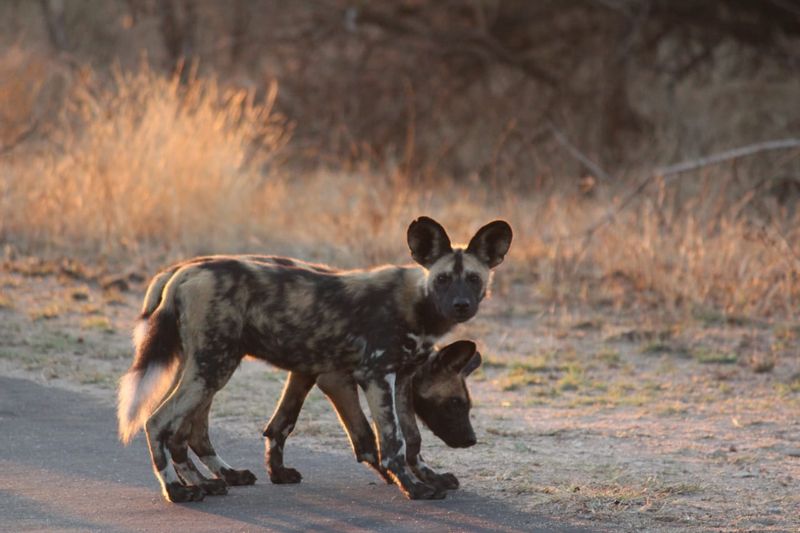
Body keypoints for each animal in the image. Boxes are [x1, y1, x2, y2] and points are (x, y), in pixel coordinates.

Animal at [115, 215, 510, 498]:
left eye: (474, 279)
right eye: (443, 280)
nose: (461, 305)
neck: (417, 306)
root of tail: (183, 271)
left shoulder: (393, 380)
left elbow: (410, 439)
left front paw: (427, 477)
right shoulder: (367, 377)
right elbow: (385, 440)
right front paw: (410, 486)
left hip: (205, 369)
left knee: (188, 431)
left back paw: (212, 481)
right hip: (212, 370)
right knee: (157, 422)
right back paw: (178, 490)